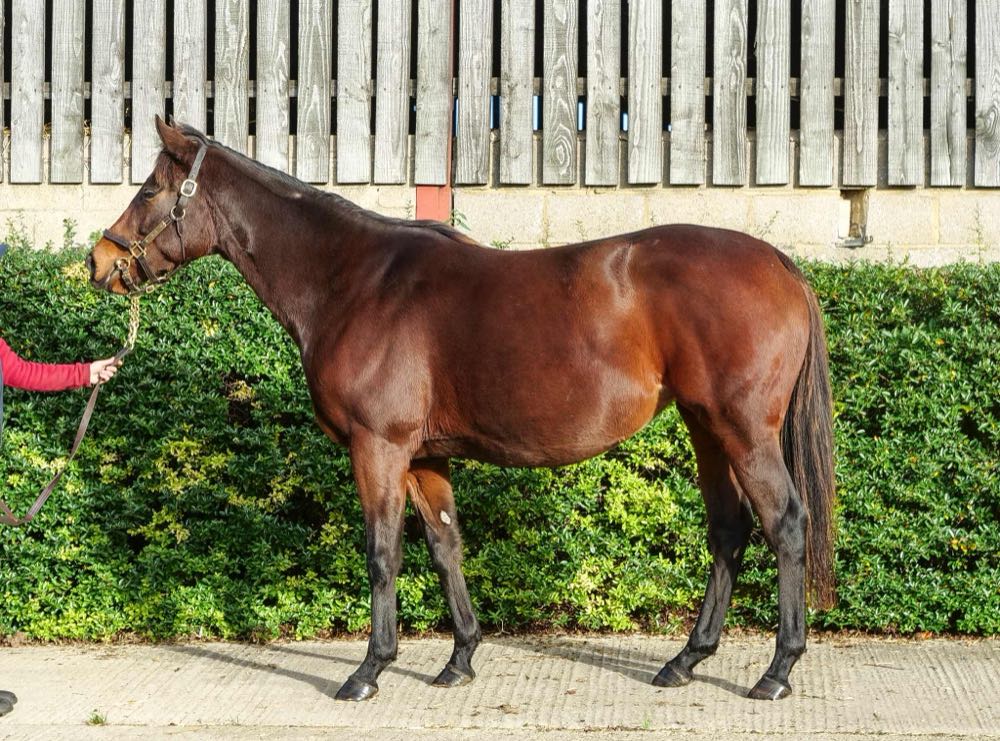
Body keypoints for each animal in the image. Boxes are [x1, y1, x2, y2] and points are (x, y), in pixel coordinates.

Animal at [88, 117, 835, 703]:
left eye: (149, 189)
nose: (99, 261)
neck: (353, 281)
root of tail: (779, 263)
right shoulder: (424, 457)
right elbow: (446, 546)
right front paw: (460, 658)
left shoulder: (379, 446)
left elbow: (382, 552)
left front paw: (369, 670)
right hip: (707, 428)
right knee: (729, 530)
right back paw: (685, 660)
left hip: (745, 430)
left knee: (785, 523)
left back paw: (776, 670)